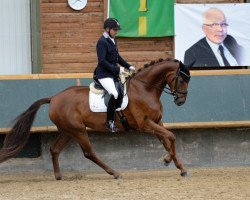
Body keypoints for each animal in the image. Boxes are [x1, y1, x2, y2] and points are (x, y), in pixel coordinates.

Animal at [0, 58, 190, 180]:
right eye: (181, 79)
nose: (181, 101)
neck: (145, 89)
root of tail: (53, 98)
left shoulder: (157, 122)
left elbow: (167, 141)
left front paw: (181, 168)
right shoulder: (145, 124)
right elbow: (171, 137)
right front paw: (166, 160)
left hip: (67, 131)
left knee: (54, 149)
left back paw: (58, 175)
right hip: (78, 130)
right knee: (88, 153)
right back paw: (114, 173)